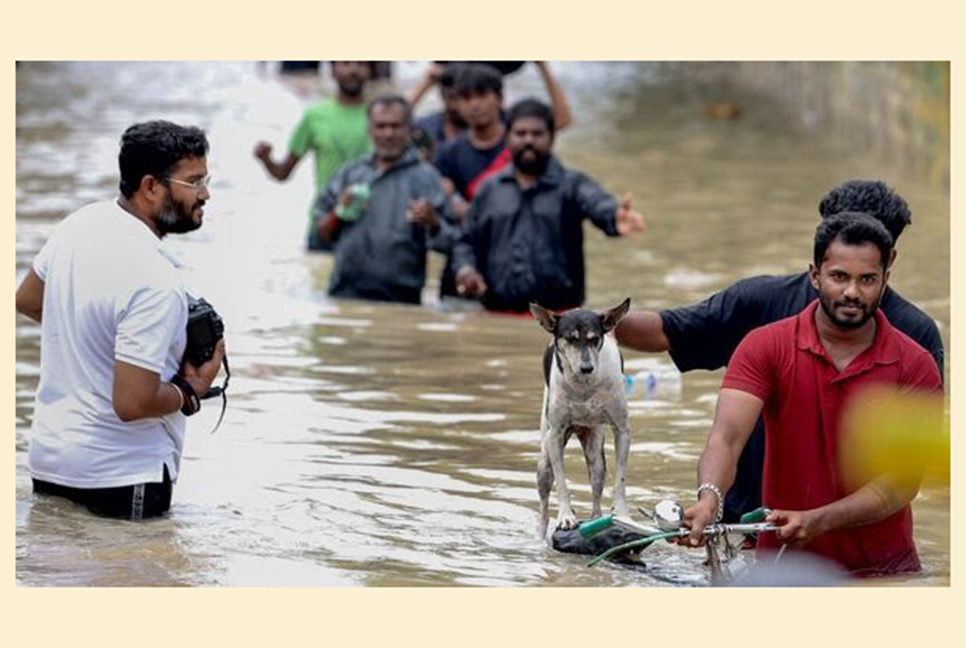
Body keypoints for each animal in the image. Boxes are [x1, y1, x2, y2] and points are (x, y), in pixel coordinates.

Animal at [528, 298, 636, 536]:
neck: (583, 387)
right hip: (543, 461)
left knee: (596, 482)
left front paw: (622, 513)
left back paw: (596, 520)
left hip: (595, 447)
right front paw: (566, 517)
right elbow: (561, 482)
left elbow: (621, 479)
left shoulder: (622, 430)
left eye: (594, 339)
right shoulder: (555, 435)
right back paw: (540, 533)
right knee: (544, 499)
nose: (586, 367)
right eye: (570, 339)